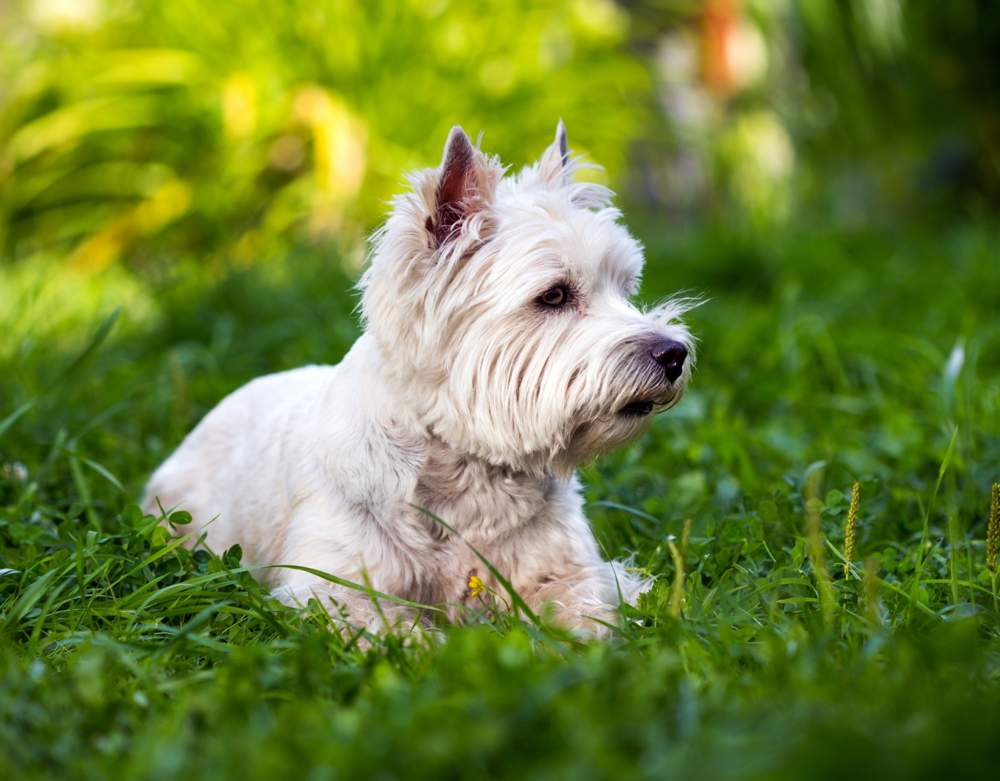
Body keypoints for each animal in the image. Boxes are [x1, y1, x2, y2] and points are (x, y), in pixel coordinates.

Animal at [145, 122, 692, 632]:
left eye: (625, 288)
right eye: (554, 295)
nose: (674, 353)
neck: (468, 471)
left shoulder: (573, 570)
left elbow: (587, 614)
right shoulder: (331, 588)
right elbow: (403, 635)